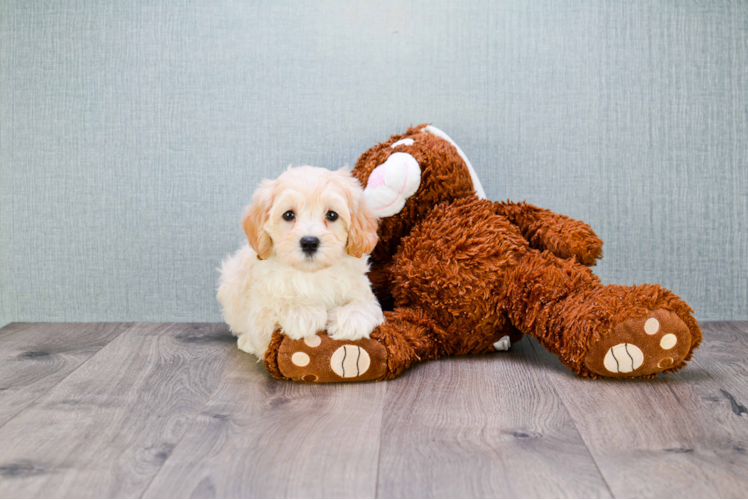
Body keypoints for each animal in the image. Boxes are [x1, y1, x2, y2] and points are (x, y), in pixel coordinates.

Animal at [213, 166, 382, 358]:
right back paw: (246, 341)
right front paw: (304, 312)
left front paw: (351, 318)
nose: (309, 242)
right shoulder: (260, 310)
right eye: (288, 215)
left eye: (332, 215)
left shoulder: (362, 290)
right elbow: (275, 306)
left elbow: (365, 304)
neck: (312, 274)